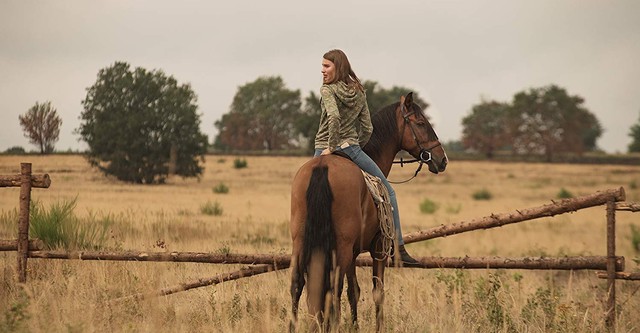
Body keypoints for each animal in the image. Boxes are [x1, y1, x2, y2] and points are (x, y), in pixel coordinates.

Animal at [288, 91, 444, 330]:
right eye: (421, 123)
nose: (442, 159)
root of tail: (322, 167)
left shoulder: (353, 254)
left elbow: (354, 292)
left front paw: (355, 326)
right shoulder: (378, 250)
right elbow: (377, 292)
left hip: (301, 243)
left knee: (298, 285)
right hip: (341, 249)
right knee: (333, 289)